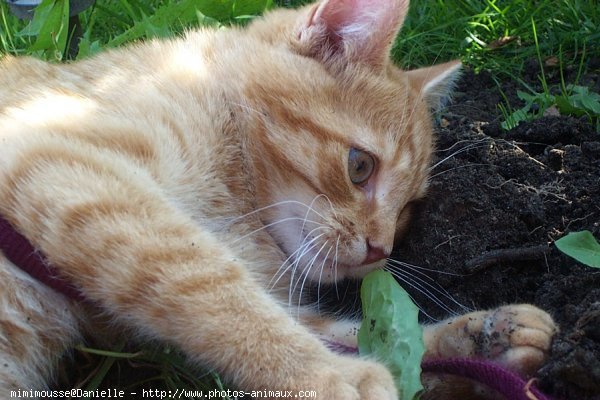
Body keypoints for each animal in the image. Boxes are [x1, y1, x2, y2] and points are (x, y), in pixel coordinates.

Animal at [0, 0, 556, 398]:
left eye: (408, 210)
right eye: (360, 167)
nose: (381, 250)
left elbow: (358, 334)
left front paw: (481, 340)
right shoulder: (61, 162)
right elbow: (209, 288)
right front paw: (327, 377)